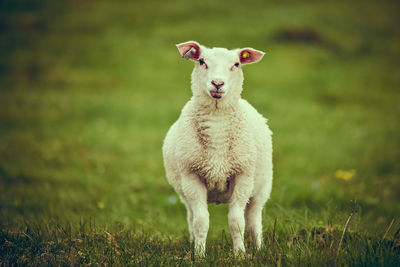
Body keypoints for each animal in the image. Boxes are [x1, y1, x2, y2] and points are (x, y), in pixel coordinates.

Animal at [162, 40, 272, 256]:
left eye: (236, 64)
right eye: (202, 61)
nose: (218, 83)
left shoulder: (243, 176)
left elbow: (237, 222)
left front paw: (240, 255)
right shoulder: (191, 177)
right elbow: (200, 222)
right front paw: (199, 255)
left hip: (261, 189)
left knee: (254, 221)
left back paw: (259, 249)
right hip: (184, 193)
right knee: (191, 218)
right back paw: (192, 242)